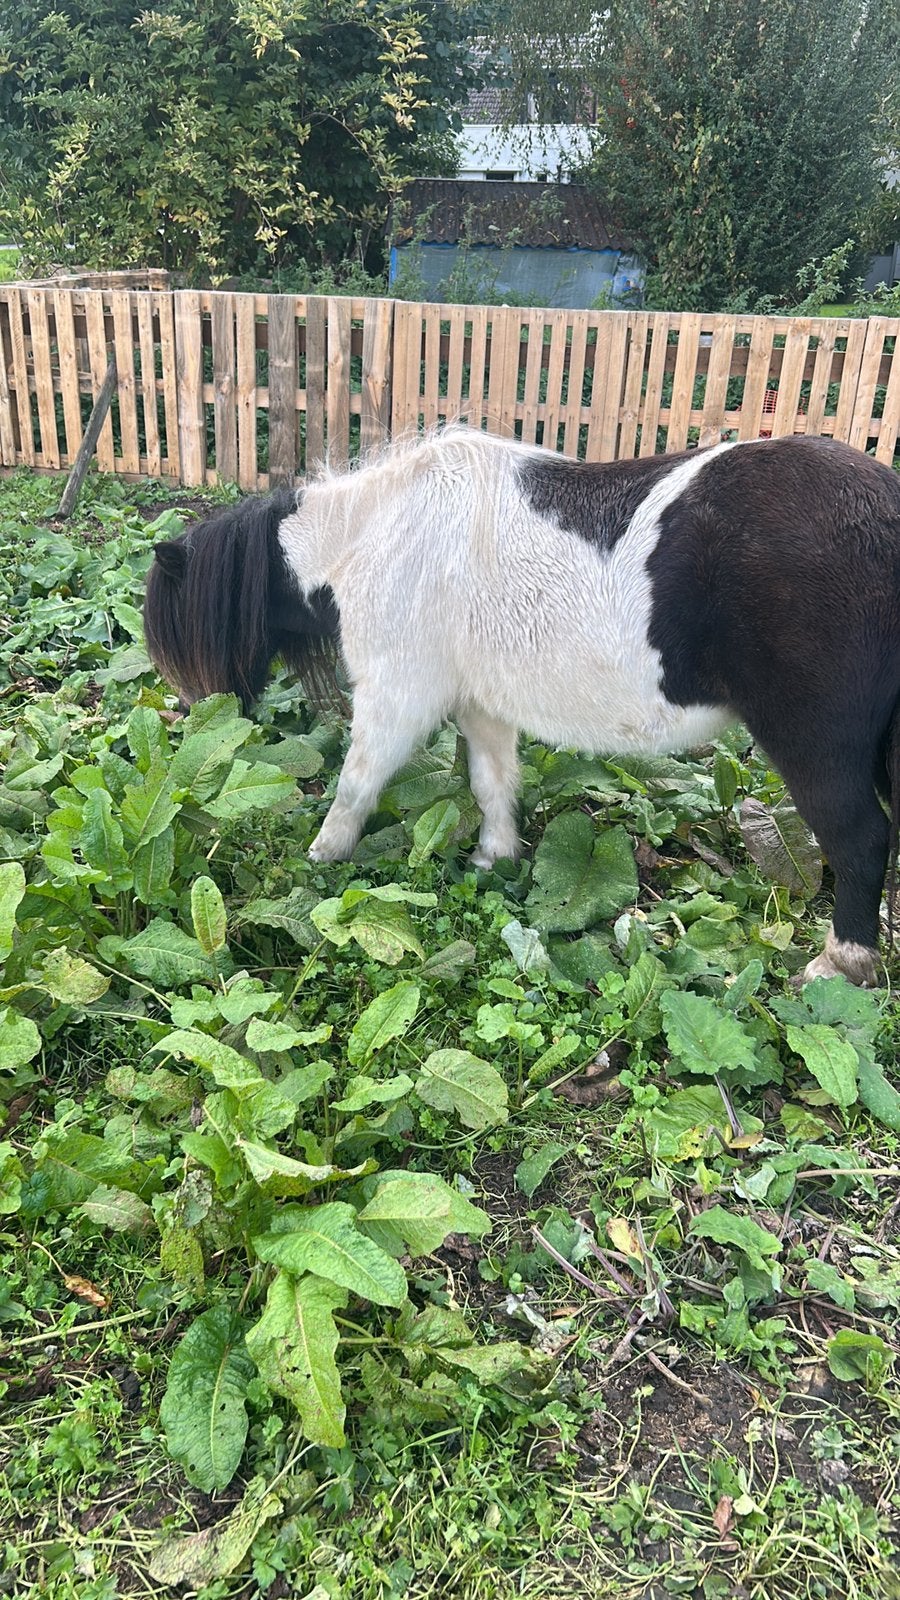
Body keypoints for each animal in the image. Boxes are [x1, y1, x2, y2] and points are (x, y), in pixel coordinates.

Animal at [144, 425, 900, 987]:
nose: (188, 717)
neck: (372, 538)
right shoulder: (481, 704)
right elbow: (492, 782)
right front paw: (495, 857)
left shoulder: (397, 696)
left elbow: (356, 785)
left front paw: (321, 861)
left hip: (812, 743)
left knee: (861, 840)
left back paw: (840, 964)